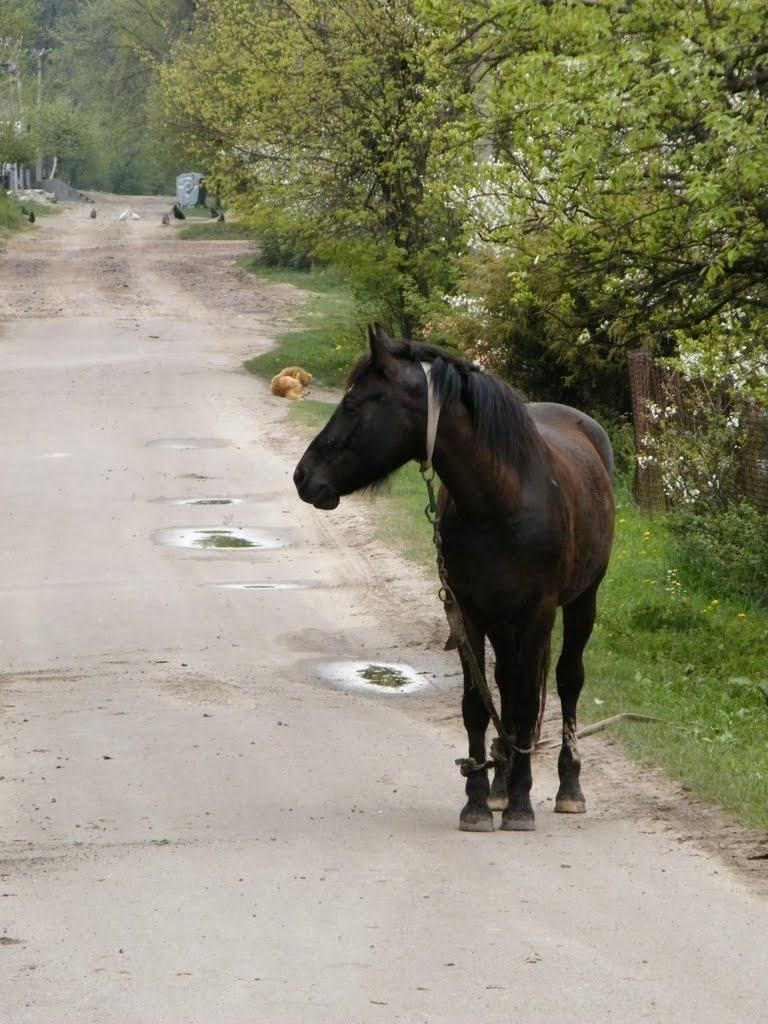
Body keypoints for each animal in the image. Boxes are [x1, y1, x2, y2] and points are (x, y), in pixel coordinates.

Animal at [290, 327, 618, 831]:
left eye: (352, 403)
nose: (303, 476)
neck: (502, 500)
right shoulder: (469, 612)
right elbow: (477, 705)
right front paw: (479, 802)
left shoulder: (538, 614)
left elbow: (527, 702)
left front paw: (521, 806)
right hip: (503, 621)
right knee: (505, 684)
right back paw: (502, 781)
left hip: (582, 601)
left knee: (566, 681)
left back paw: (567, 788)